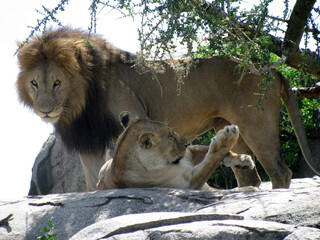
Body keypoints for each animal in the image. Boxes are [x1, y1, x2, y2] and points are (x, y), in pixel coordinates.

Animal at [96, 112, 254, 189]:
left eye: (172, 131)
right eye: (171, 136)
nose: (186, 143)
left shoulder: (190, 153)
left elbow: (211, 152)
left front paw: (243, 159)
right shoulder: (189, 184)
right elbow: (212, 158)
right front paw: (228, 137)